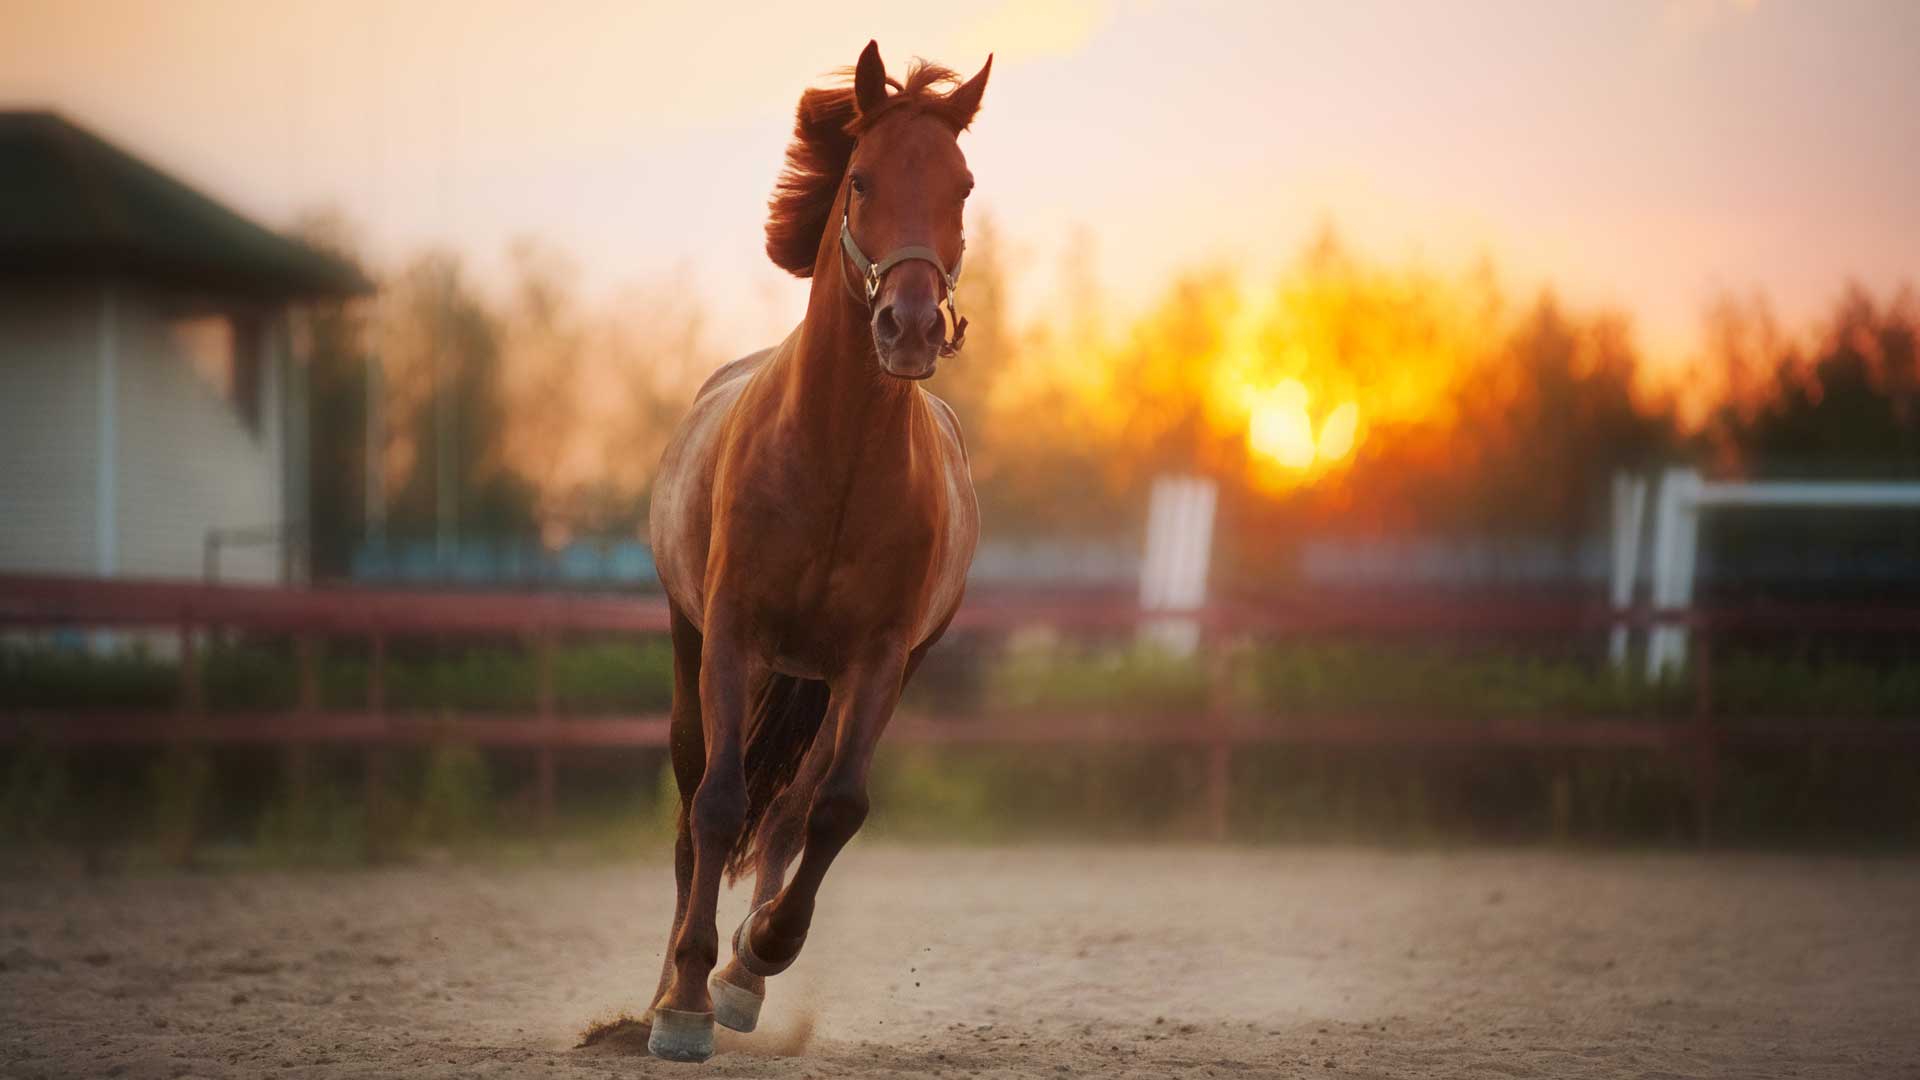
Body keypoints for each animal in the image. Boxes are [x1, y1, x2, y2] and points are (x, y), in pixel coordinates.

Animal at [645, 44, 990, 1060]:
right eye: (862, 178)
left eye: (962, 186)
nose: (909, 326)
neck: (836, 458)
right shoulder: (730, 632)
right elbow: (720, 803)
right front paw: (684, 1005)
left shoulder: (877, 659)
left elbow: (832, 808)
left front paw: (754, 956)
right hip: (692, 641)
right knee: (693, 804)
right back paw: (666, 985)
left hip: (845, 675)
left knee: (793, 810)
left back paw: (741, 974)